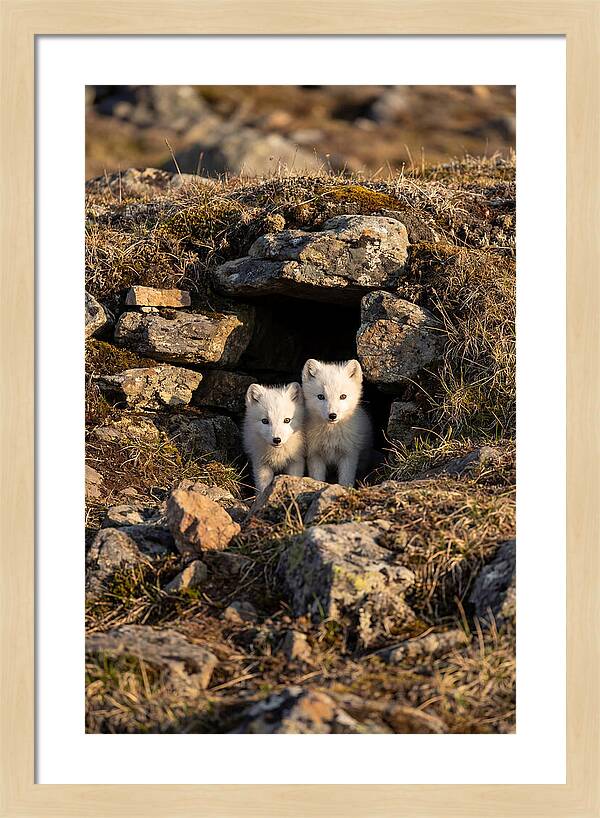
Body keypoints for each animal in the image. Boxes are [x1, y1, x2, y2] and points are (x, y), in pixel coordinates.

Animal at [301, 358, 373, 487]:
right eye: (321, 396)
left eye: (343, 396)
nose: (332, 415)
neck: (331, 435)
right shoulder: (314, 454)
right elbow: (317, 477)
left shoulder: (349, 454)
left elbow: (345, 480)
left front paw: (346, 488)